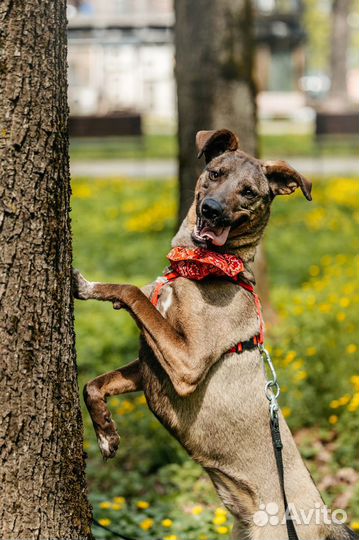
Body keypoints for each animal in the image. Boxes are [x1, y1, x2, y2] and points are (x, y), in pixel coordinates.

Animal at [74, 130, 358, 540]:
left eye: (249, 192)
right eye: (214, 172)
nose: (211, 210)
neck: (200, 267)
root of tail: (325, 521)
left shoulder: (186, 364)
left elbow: (130, 291)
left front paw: (88, 286)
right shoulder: (151, 363)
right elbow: (93, 383)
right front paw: (106, 435)